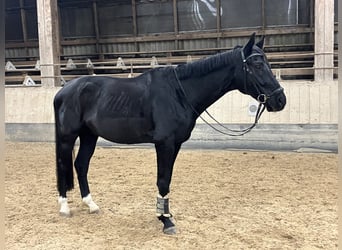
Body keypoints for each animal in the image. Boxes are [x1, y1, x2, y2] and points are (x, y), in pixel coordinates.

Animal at [54, 33, 286, 234]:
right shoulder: (164, 143)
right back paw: (64, 207)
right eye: (258, 65)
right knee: (64, 164)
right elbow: (163, 180)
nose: (280, 100)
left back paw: (91, 204)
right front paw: (165, 221)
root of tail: (64, 90)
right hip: (67, 137)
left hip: (89, 136)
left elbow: (167, 179)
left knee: (81, 164)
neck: (179, 92)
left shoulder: (176, 144)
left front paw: (165, 214)